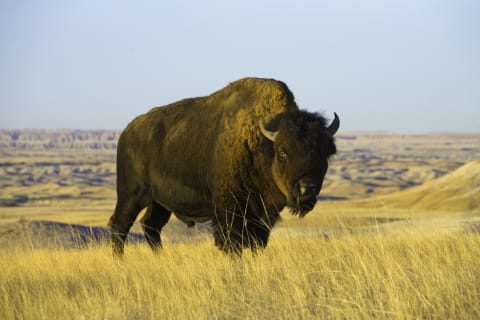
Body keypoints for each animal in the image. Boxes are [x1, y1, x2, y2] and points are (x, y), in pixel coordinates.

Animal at [110, 77, 340, 255]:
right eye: (283, 152)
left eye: (324, 154)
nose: (306, 189)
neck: (261, 145)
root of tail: (127, 132)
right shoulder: (229, 209)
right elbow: (232, 243)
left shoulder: (263, 214)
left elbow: (257, 243)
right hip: (131, 195)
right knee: (119, 225)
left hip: (159, 202)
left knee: (151, 226)